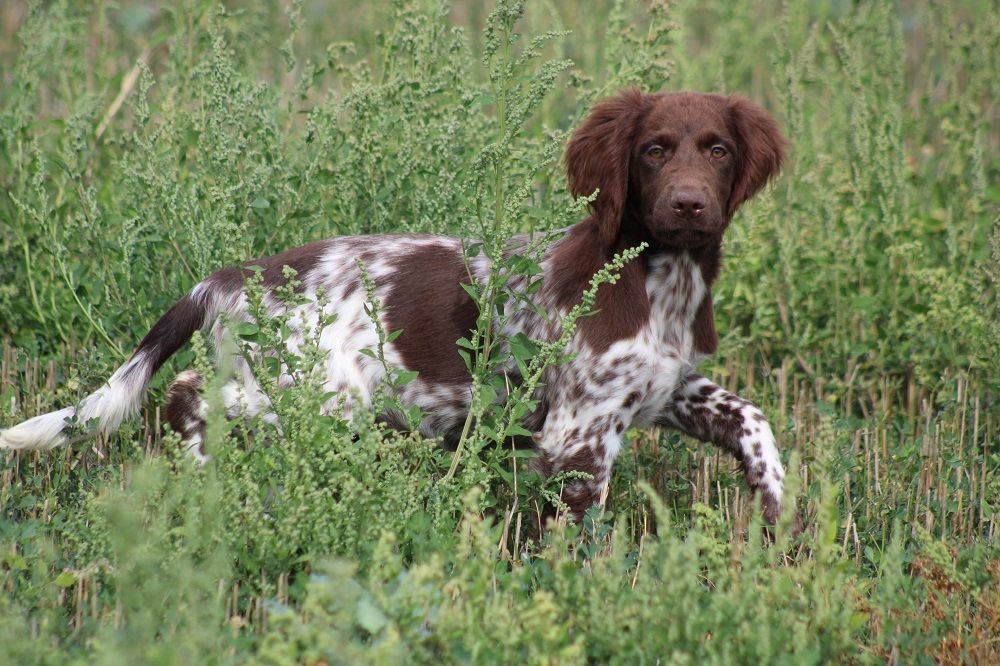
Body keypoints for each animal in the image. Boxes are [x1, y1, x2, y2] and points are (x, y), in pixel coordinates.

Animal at [3, 89, 792, 524]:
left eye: (717, 150)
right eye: (654, 150)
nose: (687, 205)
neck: (660, 282)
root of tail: (225, 279)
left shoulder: (668, 386)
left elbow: (752, 418)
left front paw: (777, 512)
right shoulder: (579, 429)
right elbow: (578, 526)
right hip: (315, 393)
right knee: (189, 394)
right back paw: (196, 474)